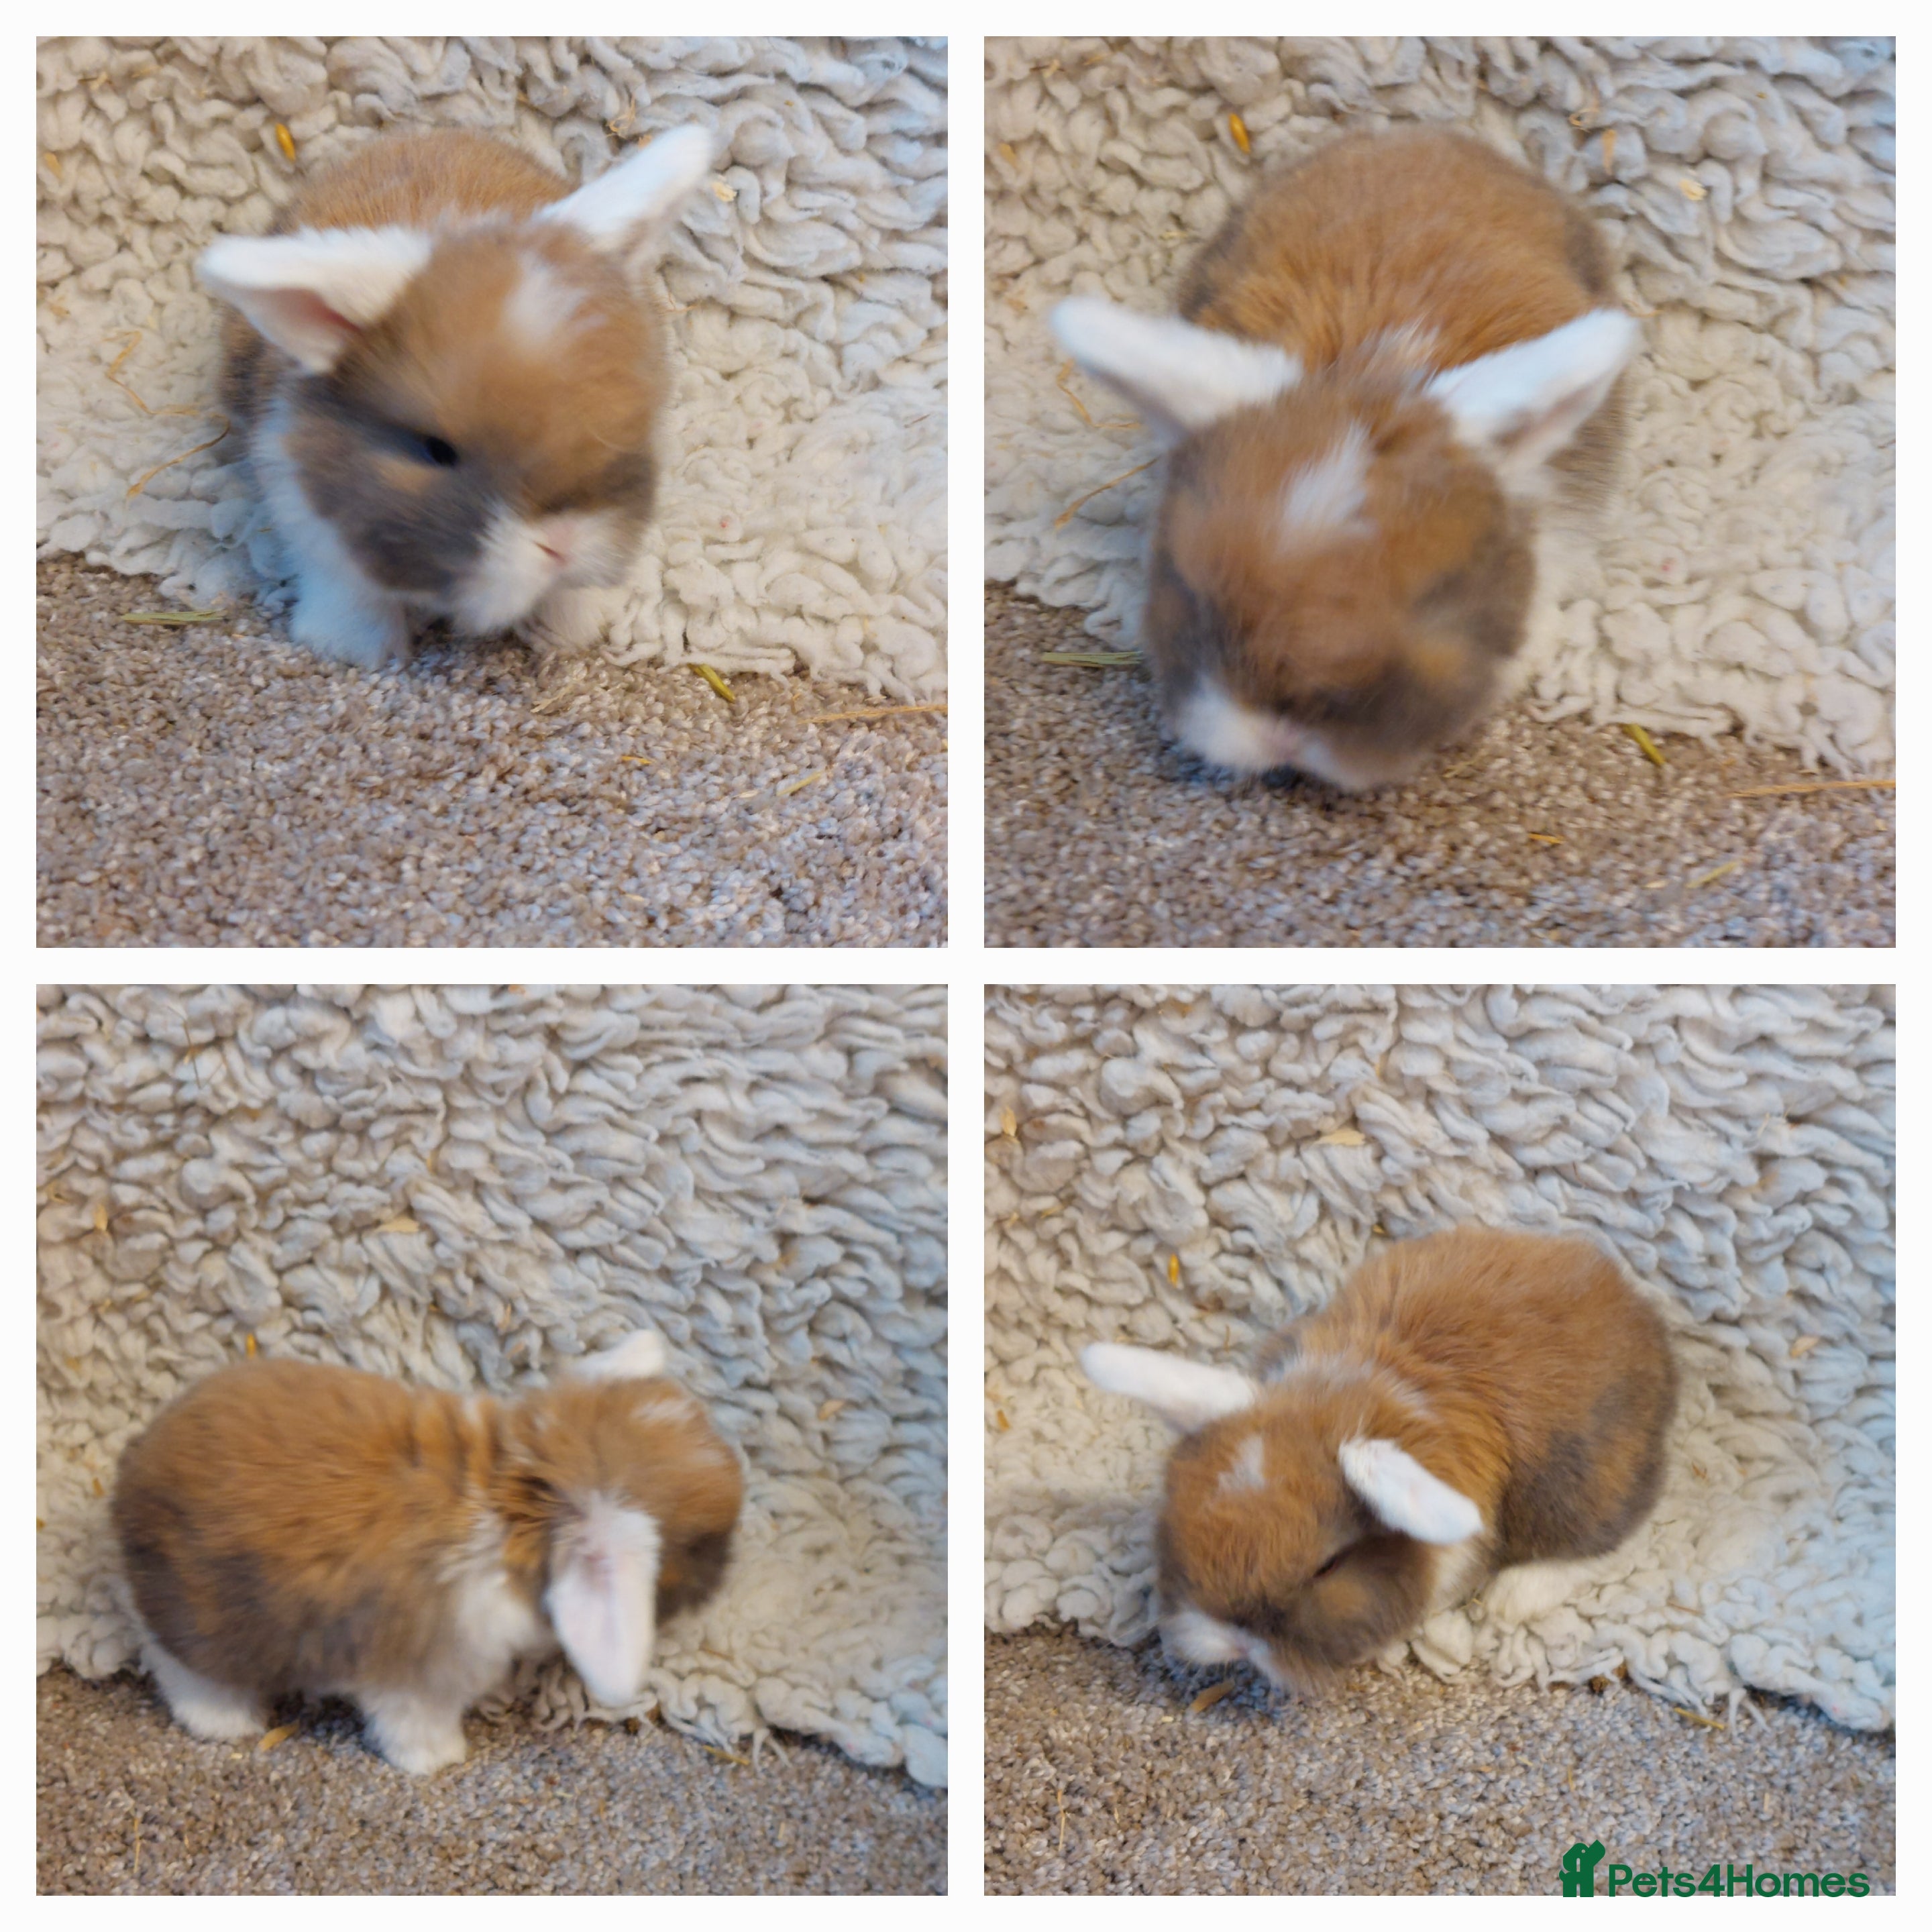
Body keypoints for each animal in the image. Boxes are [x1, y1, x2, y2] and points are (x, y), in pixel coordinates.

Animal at [111, 1328, 743, 1773]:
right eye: (701, 1546)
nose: (729, 1572)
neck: (508, 1498)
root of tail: (132, 1474)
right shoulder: (418, 1678)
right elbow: (412, 1725)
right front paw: (440, 1759)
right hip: (209, 1630)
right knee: (179, 1669)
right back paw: (226, 1721)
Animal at [198, 125, 714, 669]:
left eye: (630, 421)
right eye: (437, 450)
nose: (564, 545)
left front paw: (571, 628)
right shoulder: (304, 514)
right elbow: (349, 587)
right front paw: (350, 648)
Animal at [1081, 1228, 1677, 1695]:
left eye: (1329, 1565)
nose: (1232, 1645)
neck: (1347, 1403)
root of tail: (1642, 1317)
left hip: (1579, 1487)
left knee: (1613, 1540)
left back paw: (1510, 1599)